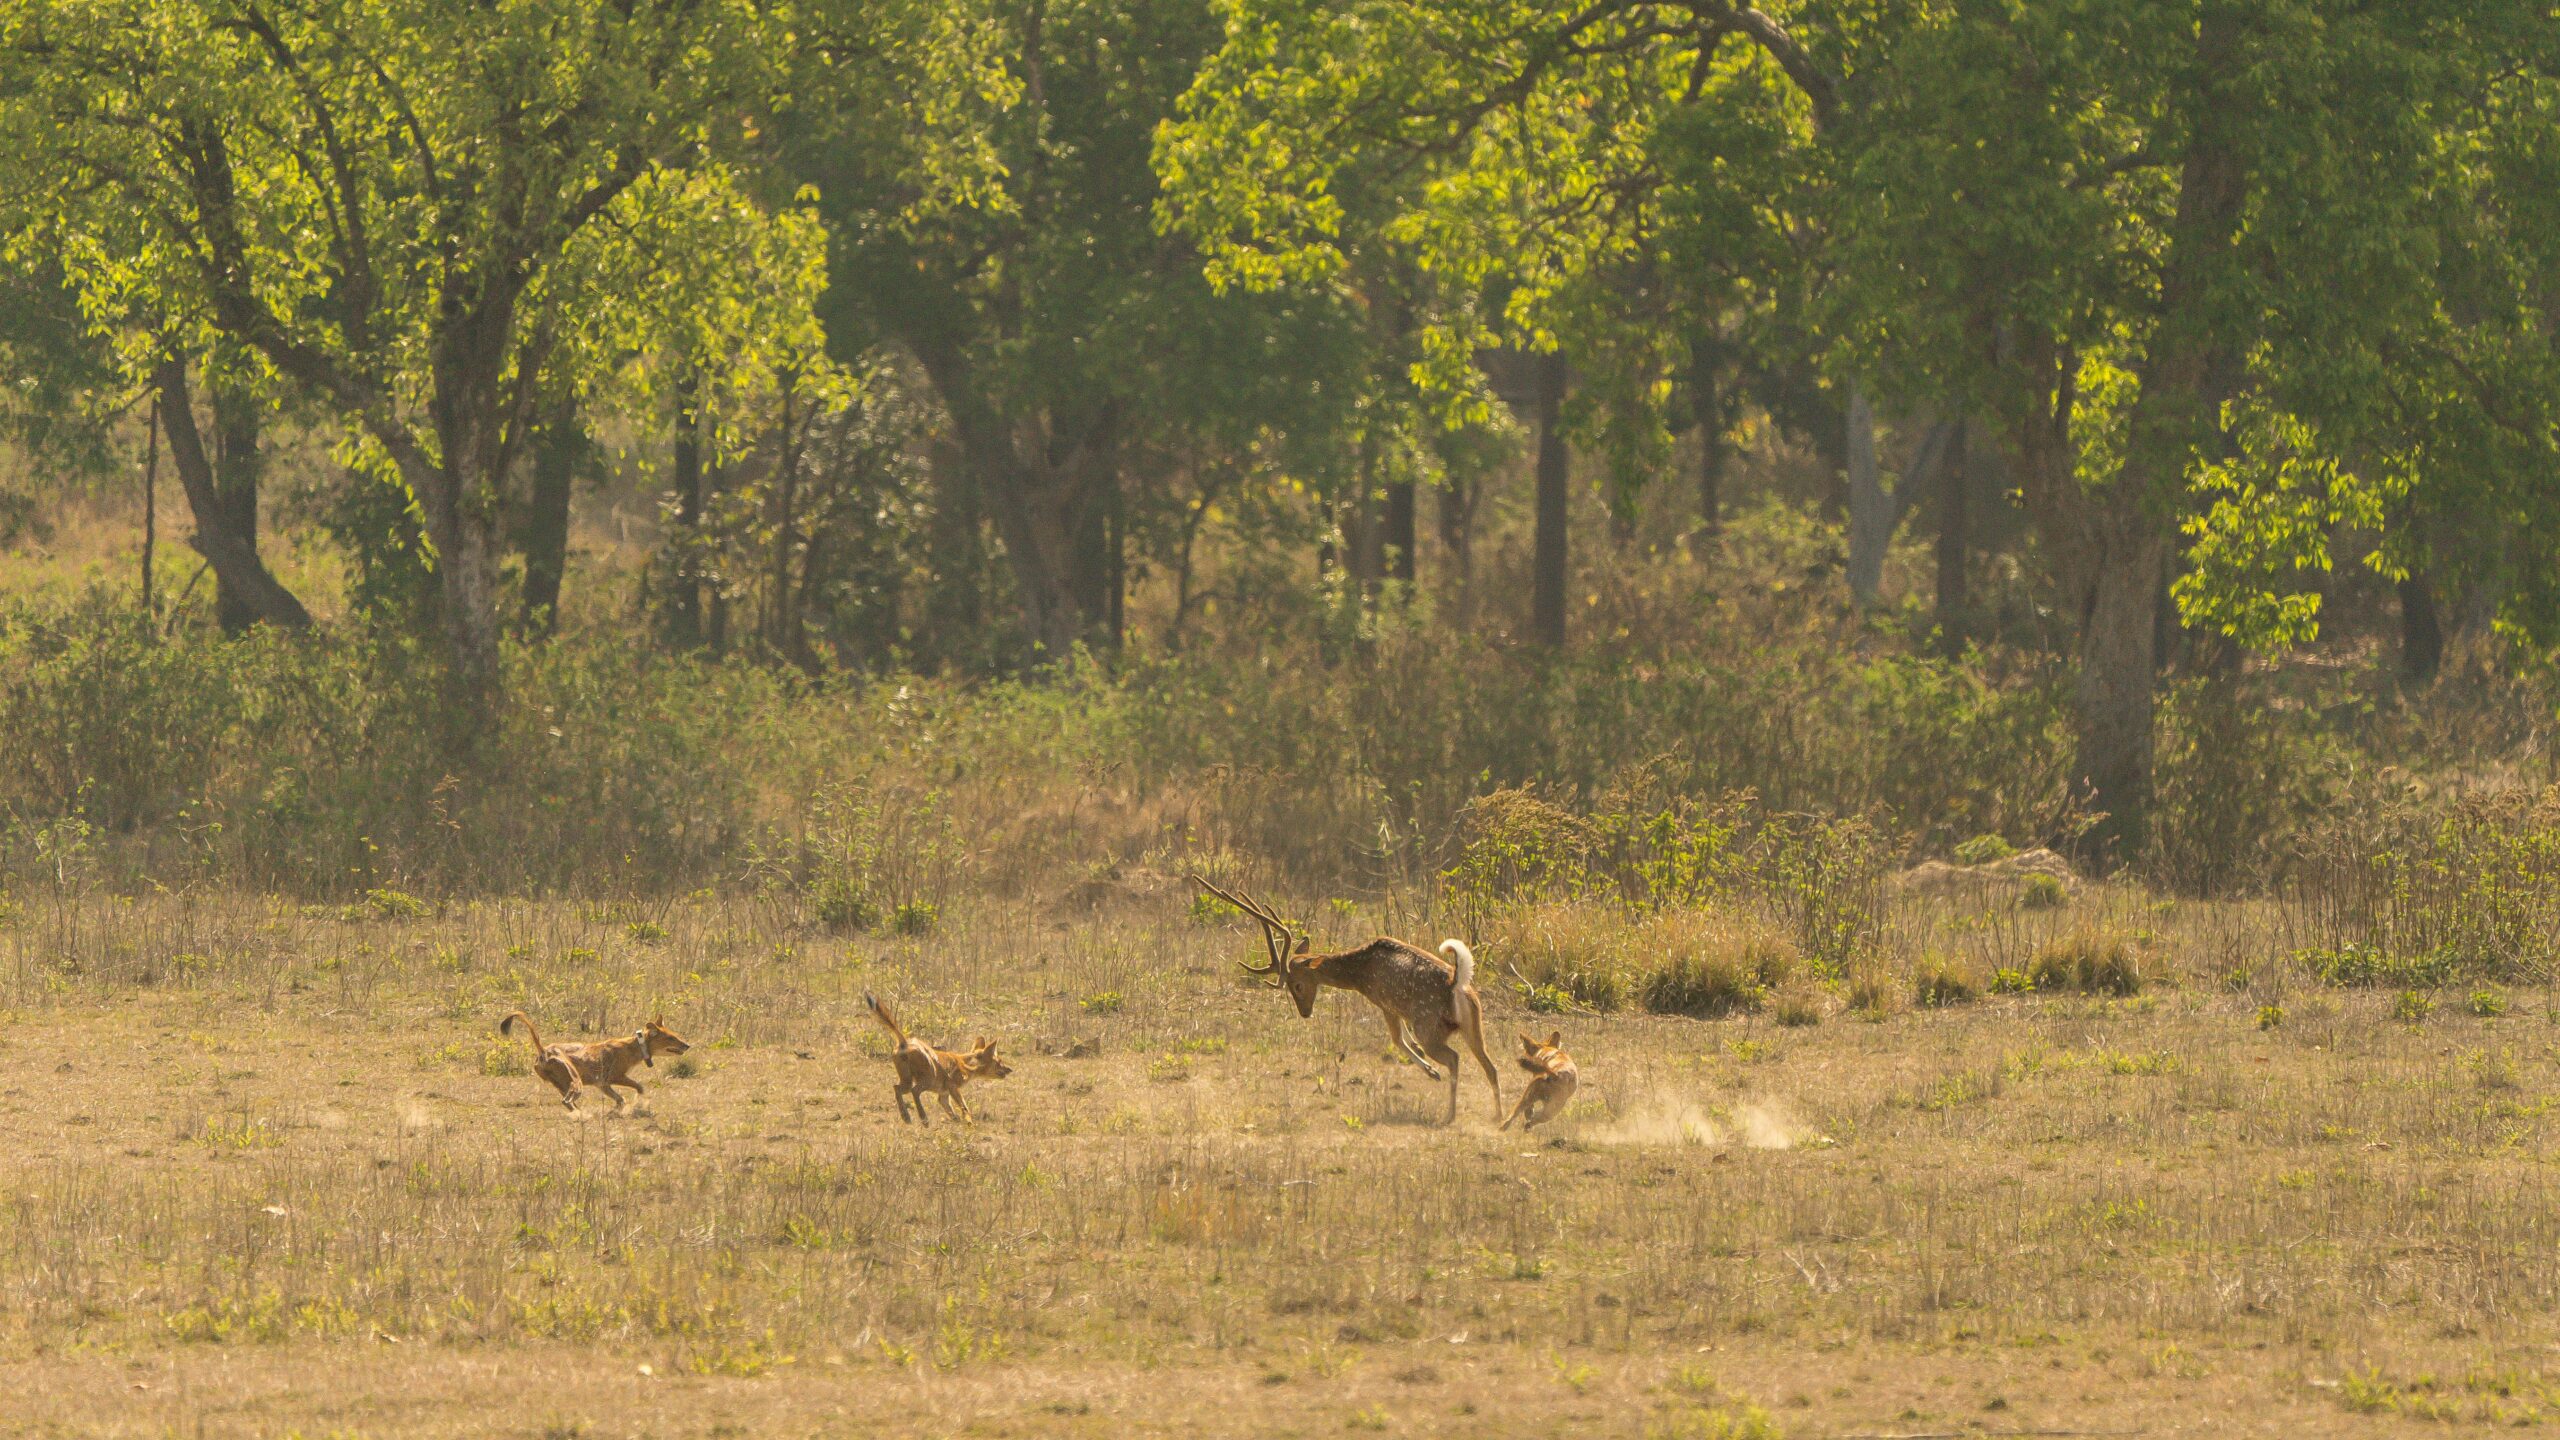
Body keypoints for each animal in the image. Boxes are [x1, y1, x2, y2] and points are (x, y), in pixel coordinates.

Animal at [496, 1009, 691, 1112]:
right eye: (672, 1038)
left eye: (675, 1035)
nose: (688, 1045)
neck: (636, 1046)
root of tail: (544, 1049)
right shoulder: (615, 1077)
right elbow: (639, 1087)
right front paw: (640, 1103)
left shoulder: (602, 1084)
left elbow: (620, 1099)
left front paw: (618, 1110)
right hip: (576, 1082)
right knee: (566, 1101)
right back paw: (581, 1117)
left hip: (563, 1084)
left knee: (568, 1102)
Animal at [870, 983, 1008, 1122]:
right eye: (999, 1061)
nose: (1010, 1070)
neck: (967, 1063)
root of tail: (905, 1041)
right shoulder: (953, 1086)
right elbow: (965, 1108)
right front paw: (969, 1123)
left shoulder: (943, 1095)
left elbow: (952, 1113)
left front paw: (959, 1122)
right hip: (929, 1076)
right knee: (915, 1091)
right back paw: (923, 1119)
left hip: (907, 1077)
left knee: (897, 1088)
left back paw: (906, 1117)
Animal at [1192, 871, 1495, 1127]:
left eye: (1297, 984)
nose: (1305, 1013)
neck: (1360, 973)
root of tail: (1457, 983)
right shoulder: (1395, 1009)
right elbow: (1405, 1040)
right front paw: (1424, 1061)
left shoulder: (1384, 1001)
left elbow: (1398, 1040)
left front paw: (1431, 1072)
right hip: (1474, 1023)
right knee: (1490, 1065)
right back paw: (1500, 1116)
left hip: (1430, 1026)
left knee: (1455, 1058)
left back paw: (1450, 1113)